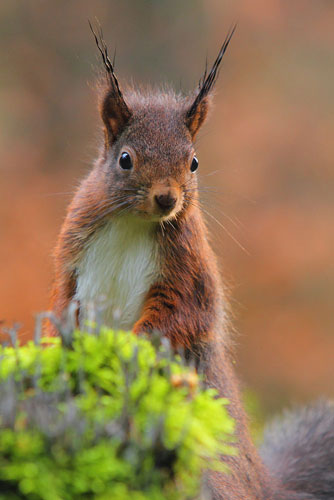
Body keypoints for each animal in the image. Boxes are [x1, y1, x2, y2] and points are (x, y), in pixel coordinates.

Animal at [49, 26, 334, 500]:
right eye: (125, 159)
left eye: (194, 162)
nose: (168, 198)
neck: (134, 221)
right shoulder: (73, 252)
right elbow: (63, 304)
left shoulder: (187, 270)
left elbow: (182, 315)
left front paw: (131, 348)